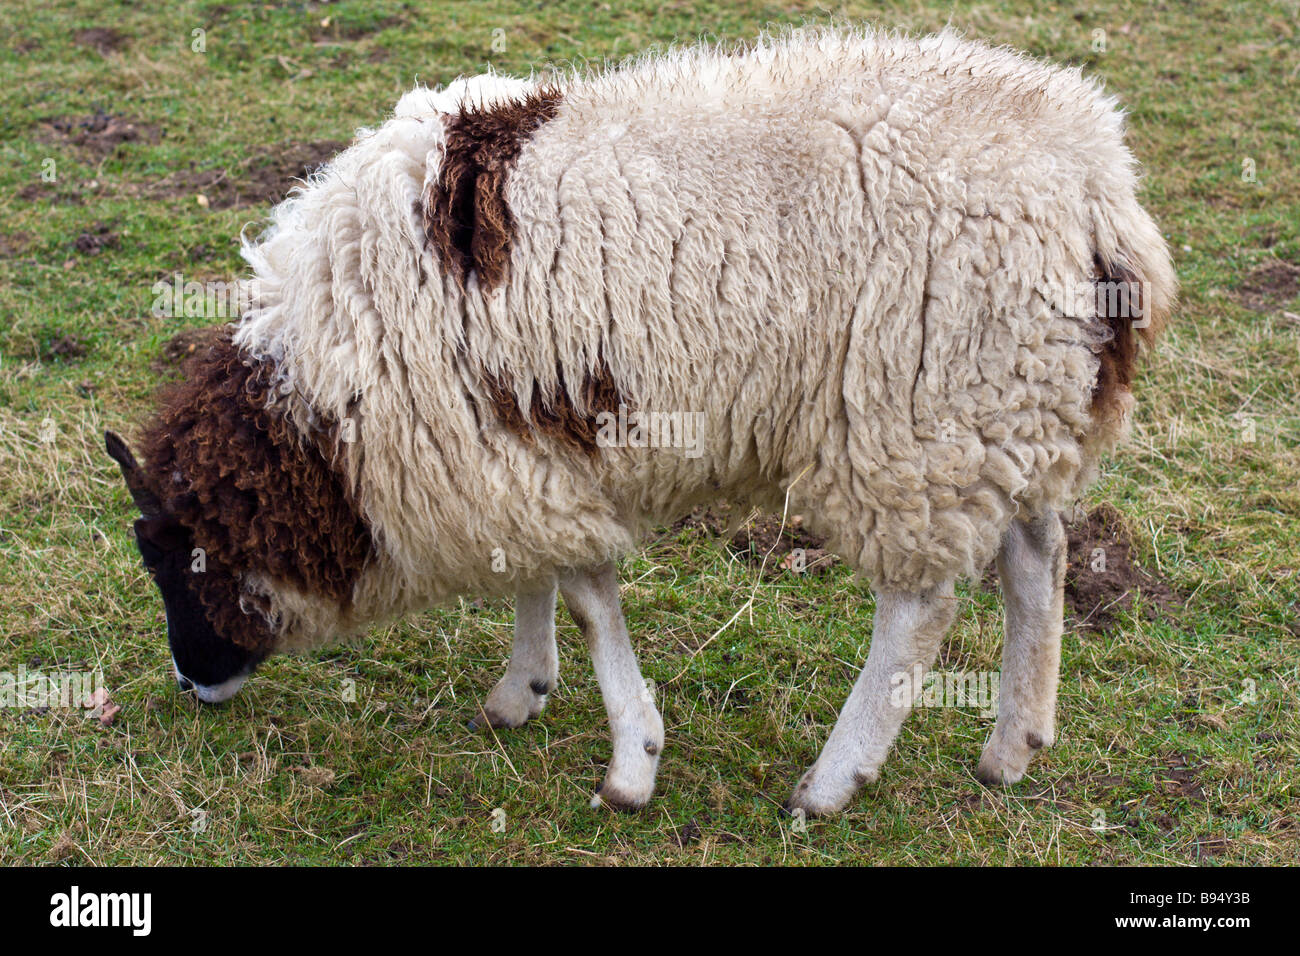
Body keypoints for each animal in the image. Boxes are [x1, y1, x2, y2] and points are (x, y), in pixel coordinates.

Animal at [106, 24, 1175, 816]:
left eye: (179, 561)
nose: (191, 681)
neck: (319, 412)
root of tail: (1097, 181)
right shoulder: (511, 450)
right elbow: (535, 577)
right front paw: (522, 691)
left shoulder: (517, 455)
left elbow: (586, 595)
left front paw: (631, 764)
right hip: (1011, 399)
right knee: (1038, 556)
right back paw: (1013, 746)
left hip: (919, 415)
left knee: (920, 609)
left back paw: (833, 779)